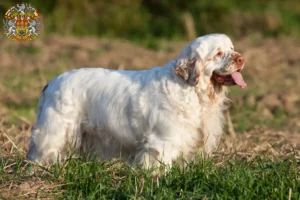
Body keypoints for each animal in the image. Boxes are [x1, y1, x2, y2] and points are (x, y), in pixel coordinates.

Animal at [27, 33, 246, 168]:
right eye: (218, 53)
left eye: (232, 48)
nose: (241, 58)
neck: (191, 89)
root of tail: (51, 82)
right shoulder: (162, 141)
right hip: (54, 132)